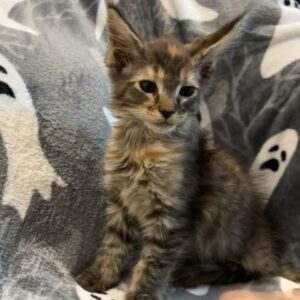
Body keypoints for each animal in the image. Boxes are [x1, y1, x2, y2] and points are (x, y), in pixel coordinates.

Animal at [78, 8, 300, 298]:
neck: (145, 148)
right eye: (148, 86)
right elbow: (113, 245)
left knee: (249, 271)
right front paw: (100, 277)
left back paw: (193, 273)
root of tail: (270, 247)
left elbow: (153, 266)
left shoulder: (173, 219)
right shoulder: (121, 202)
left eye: (186, 91)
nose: (168, 111)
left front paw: (141, 294)